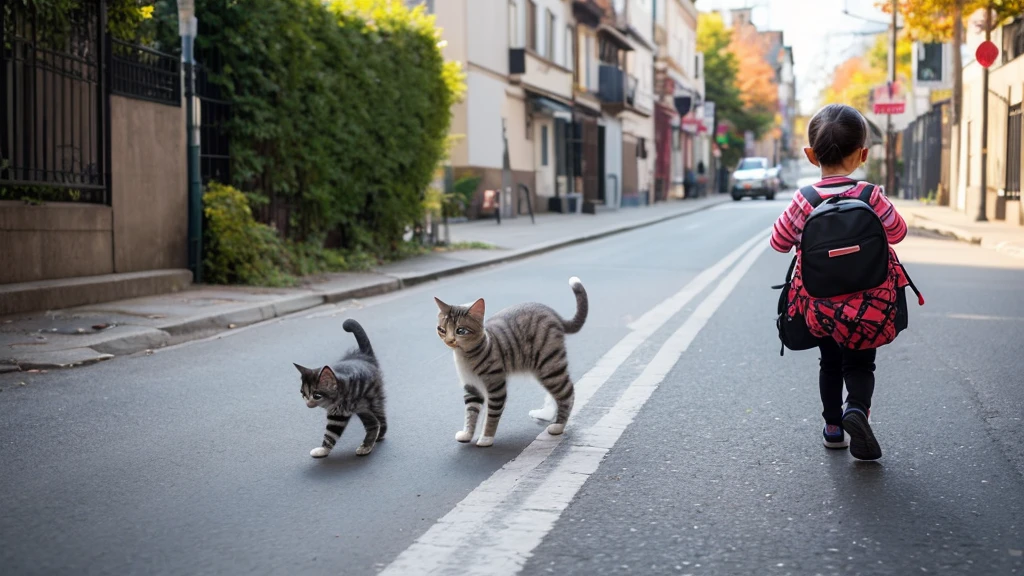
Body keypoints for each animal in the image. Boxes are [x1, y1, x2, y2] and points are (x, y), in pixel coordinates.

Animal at [292, 317, 387, 457]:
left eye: (316, 396)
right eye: (303, 394)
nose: (308, 404)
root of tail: (364, 356)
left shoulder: (339, 415)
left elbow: (331, 433)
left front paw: (322, 450)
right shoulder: (337, 413)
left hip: (373, 400)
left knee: (379, 419)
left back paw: (376, 437)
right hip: (363, 406)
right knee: (376, 421)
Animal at [434, 276, 593, 446]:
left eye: (461, 331)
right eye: (442, 330)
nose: (449, 340)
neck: (466, 356)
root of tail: (552, 313)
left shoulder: (496, 387)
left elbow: (491, 415)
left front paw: (486, 438)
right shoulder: (471, 388)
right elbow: (471, 413)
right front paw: (467, 434)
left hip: (549, 365)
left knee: (567, 392)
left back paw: (558, 426)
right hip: (542, 369)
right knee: (554, 394)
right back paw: (546, 414)